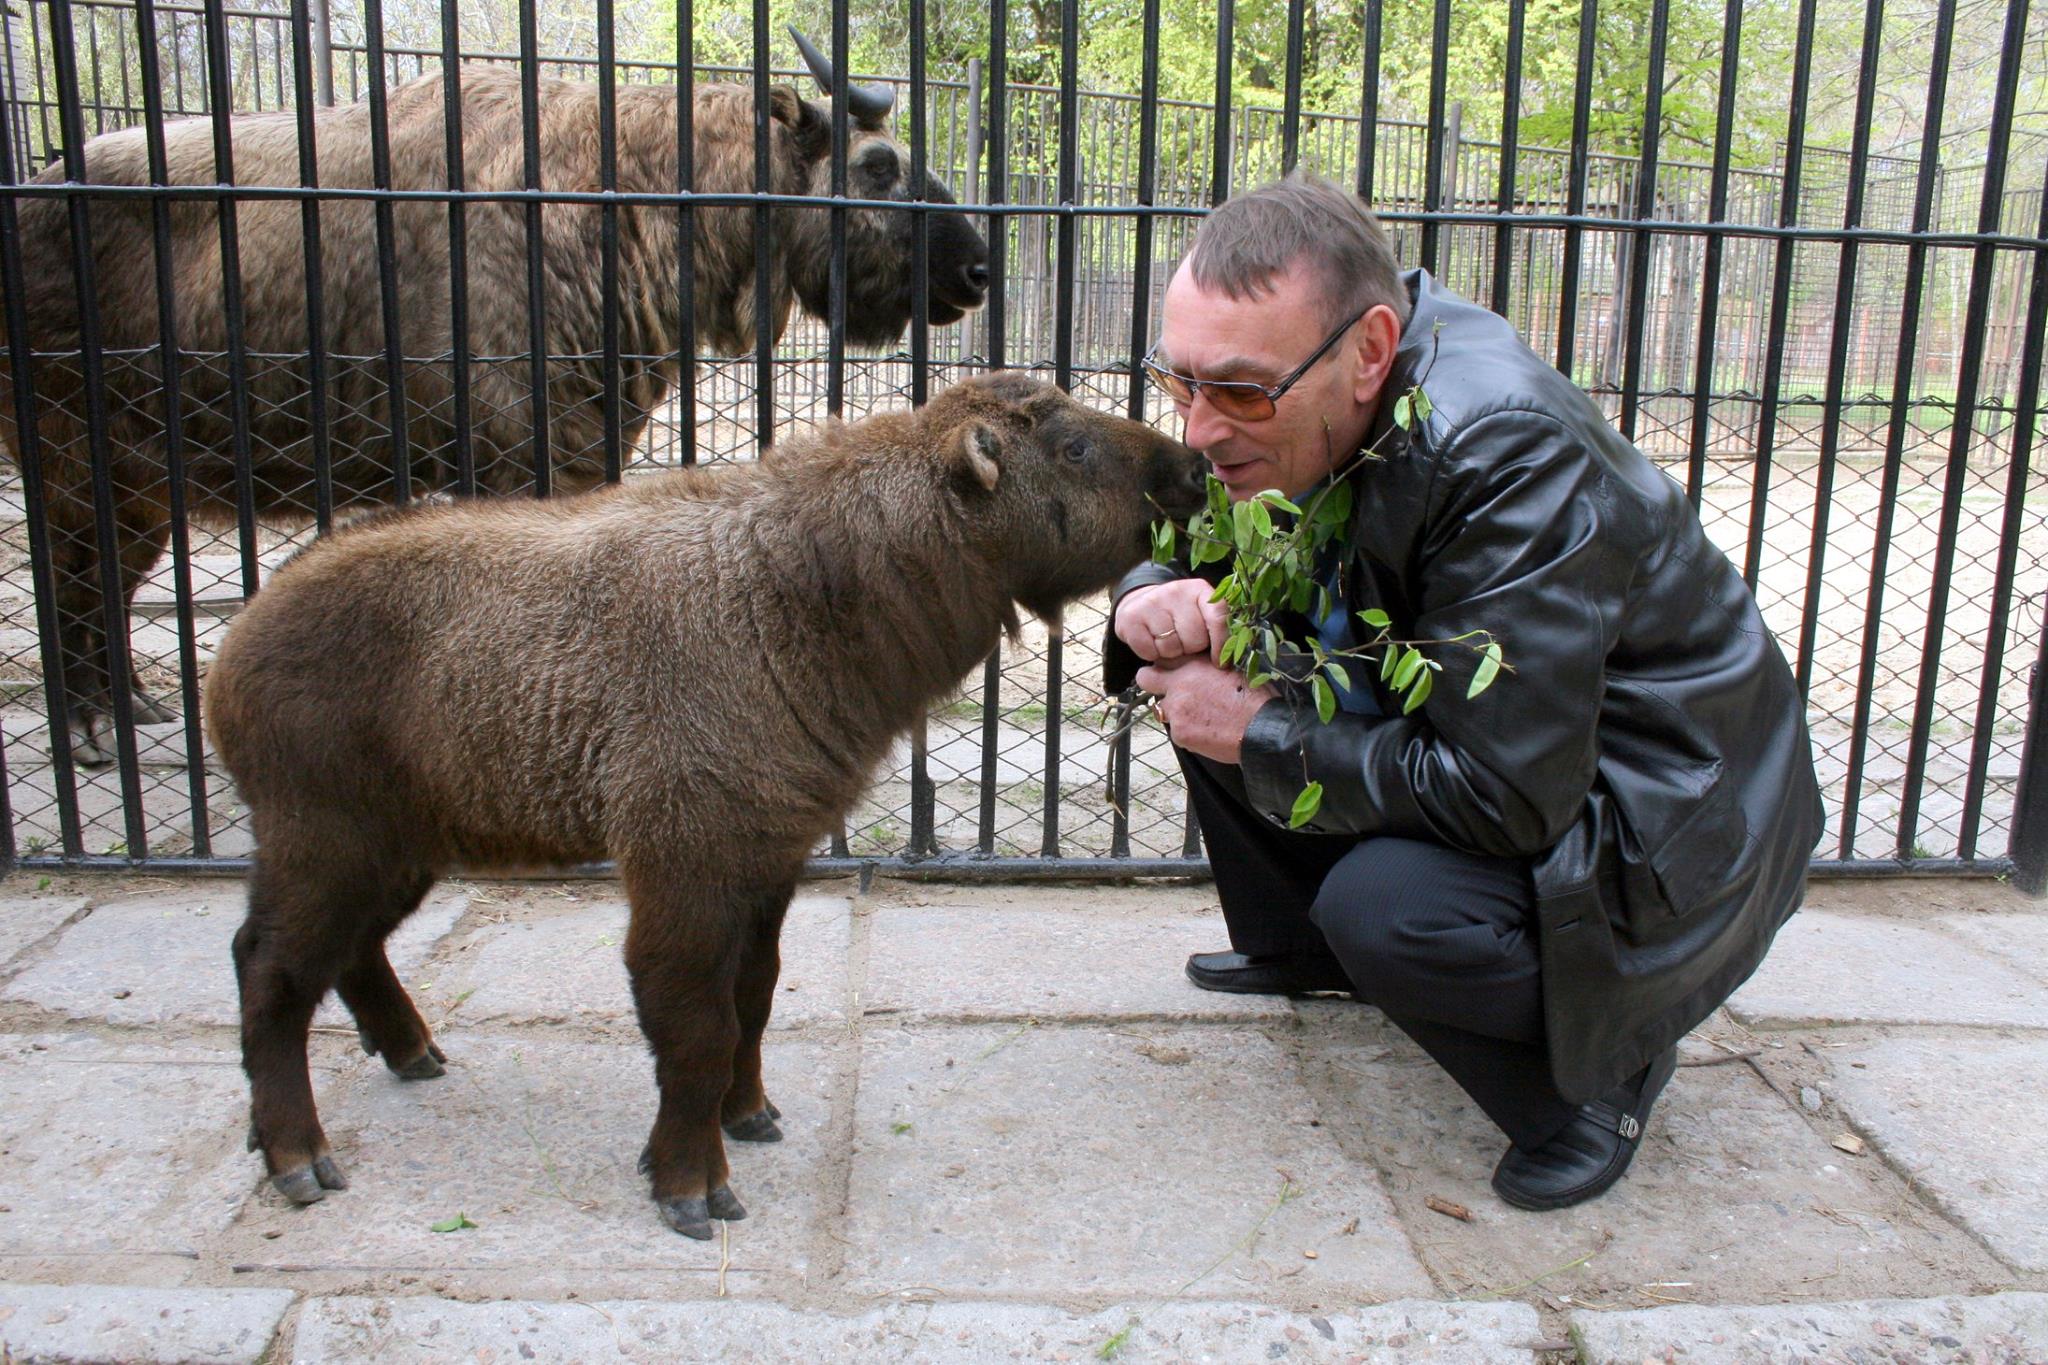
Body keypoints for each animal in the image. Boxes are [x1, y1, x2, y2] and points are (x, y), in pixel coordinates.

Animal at [211, 374, 1196, 1236]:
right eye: (1071, 446)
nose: (1191, 470)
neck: (788, 592)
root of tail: (237, 643)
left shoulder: (767, 860)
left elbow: (751, 1000)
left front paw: (747, 1112)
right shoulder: (684, 863)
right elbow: (693, 1024)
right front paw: (691, 1183)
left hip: (399, 845)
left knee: (349, 949)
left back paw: (406, 1055)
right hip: (324, 837)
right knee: (270, 968)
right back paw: (296, 1154)